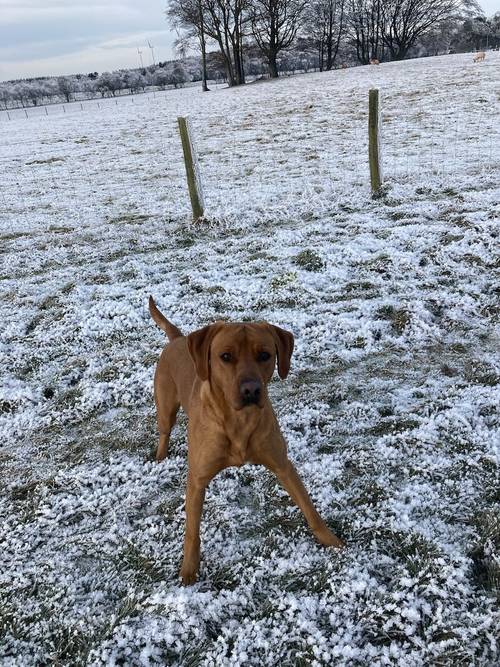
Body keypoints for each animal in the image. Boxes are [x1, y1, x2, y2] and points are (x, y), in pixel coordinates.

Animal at [148, 298, 344, 584]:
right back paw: (160, 457)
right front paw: (188, 572)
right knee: (164, 430)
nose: (251, 390)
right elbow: (192, 532)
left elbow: (309, 507)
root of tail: (179, 339)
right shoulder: (197, 479)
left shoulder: (282, 465)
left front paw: (331, 540)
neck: (238, 421)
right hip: (165, 407)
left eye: (264, 355)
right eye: (225, 357)